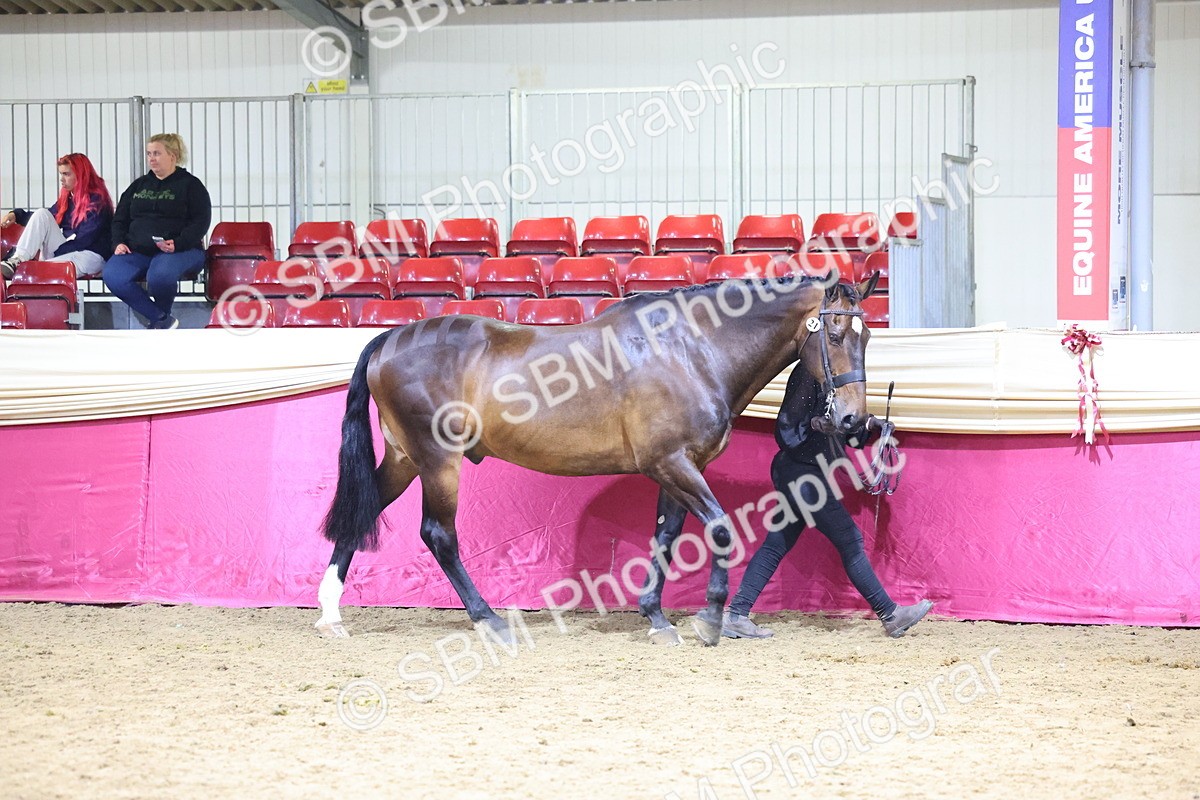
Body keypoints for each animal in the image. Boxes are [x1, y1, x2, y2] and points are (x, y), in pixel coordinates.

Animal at [317, 270, 880, 646]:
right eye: (834, 334)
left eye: (869, 334)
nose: (854, 420)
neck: (689, 349)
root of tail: (391, 337)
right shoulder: (673, 464)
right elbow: (720, 528)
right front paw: (709, 619)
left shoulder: (675, 468)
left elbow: (665, 538)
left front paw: (657, 618)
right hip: (438, 462)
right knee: (439, 535)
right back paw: (491, 620)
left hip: (404, 459)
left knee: (364, 511)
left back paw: (330, 613)